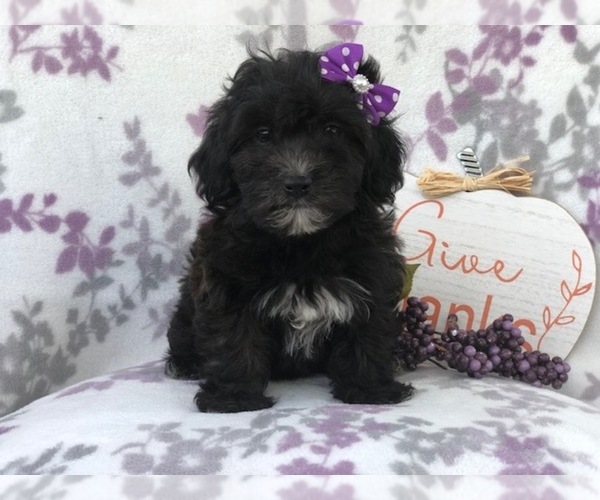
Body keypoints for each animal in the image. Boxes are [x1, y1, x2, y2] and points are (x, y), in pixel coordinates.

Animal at [166, 43, 414, 412]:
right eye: (262, 135)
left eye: (332, 130)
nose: (297, 182)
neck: (301, 243)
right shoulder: (228, 282)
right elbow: (234, 338)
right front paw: (233, 398)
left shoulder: (371, 275)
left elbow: (368, 331)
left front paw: (370, 390)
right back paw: (185, 363)